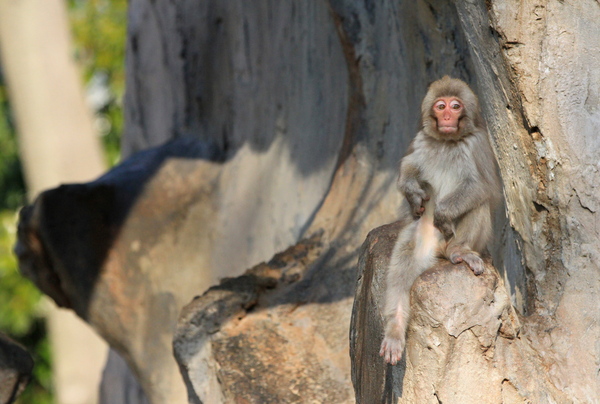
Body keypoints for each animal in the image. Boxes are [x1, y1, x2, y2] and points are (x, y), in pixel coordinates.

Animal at [380, 76, 502, 366]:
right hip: (419, 235)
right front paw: (412, 193)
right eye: (441, 105)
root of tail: (440, 250)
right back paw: (395, 327)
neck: (448, 142)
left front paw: (444, 214)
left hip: (465, 240)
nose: (447, 116)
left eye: (456, 106)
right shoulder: (422, 140)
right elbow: (409, 166)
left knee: (477, 203)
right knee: (401, 268)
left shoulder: (477, 144)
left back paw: (460, 251)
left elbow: (482, 186)